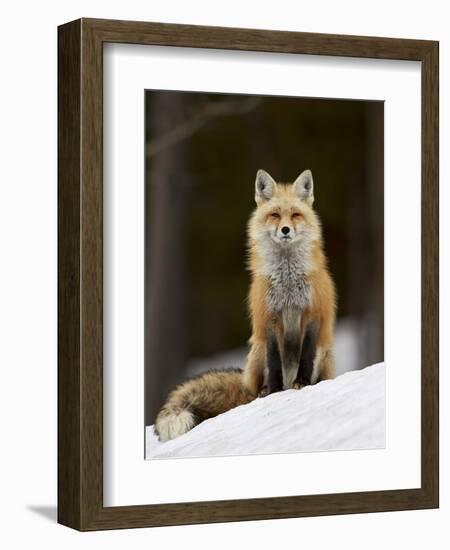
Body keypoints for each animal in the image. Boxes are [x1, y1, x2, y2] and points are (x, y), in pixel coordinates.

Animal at [153, 169, 336, 444]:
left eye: (295, 215)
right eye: (274, 215)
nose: (285, 230)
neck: (287, 280)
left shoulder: (312, 313)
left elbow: (306, 354)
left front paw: (302, 384)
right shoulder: (268, 318)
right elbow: (274, 361)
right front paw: (275, 391)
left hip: (324, 354)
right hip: (256, 351)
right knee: (257, 383)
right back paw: (263, 392)